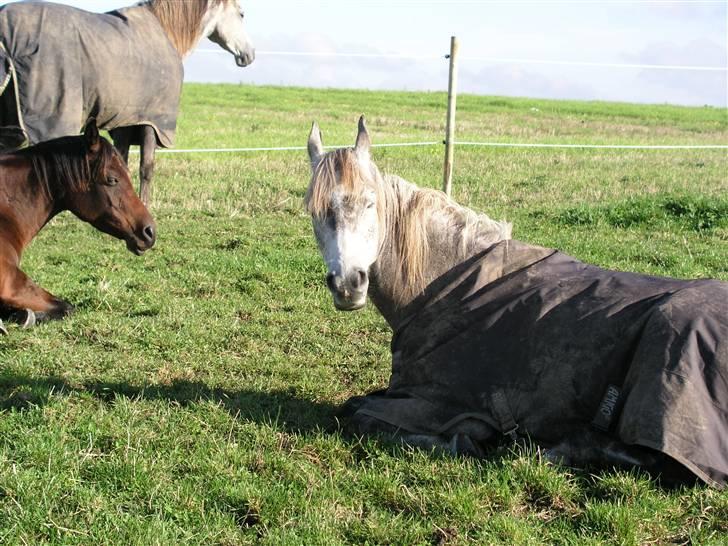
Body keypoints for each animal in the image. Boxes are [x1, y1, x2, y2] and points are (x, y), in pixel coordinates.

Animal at [0, 0, 256, 202]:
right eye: (242, 13)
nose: (250, 54)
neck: (165, 32)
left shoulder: (125, 121)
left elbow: (121, 162)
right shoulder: (151, 122)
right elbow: (146, 168)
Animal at [306, 117, 728, 486]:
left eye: (370, 203)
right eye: (314, 211)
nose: (348, 284)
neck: (451, 283)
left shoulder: (431, 401)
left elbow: (358, 413)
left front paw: (464, 438)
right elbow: (356, 404)